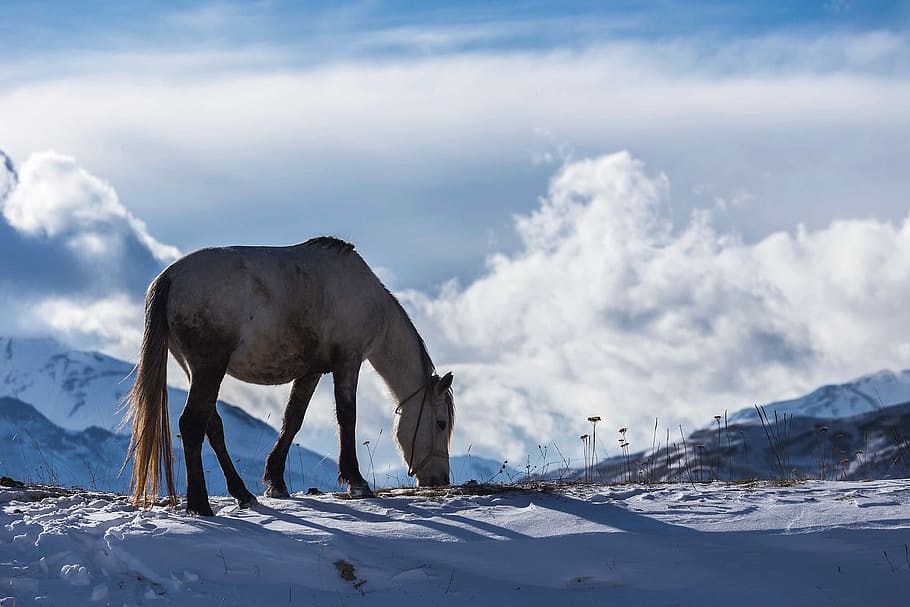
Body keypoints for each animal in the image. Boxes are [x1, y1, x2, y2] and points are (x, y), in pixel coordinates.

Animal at [123, 236, 455, 516]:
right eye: (440, 423)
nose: (439, 479)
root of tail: (170, 277)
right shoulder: (348, 362)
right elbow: (347, 417)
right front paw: (356, 482)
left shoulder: (311, 371)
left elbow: (293, 419)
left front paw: (276, 481)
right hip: (209, 368)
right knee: (192, 424)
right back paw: (200, 504)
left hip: (196, 370)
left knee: (211, 425)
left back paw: (243, 494)